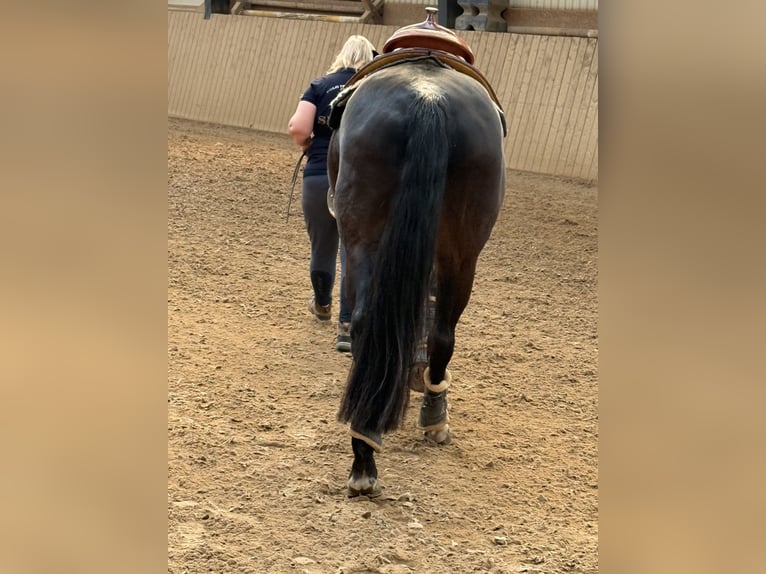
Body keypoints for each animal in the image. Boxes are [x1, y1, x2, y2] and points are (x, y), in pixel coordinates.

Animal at [327, 54, 506, 497]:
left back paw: (366, 445)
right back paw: (425, 419)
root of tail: (429, 100)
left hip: (364, 237)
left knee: (371, 324)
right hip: (461, 253)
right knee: (442, 333)